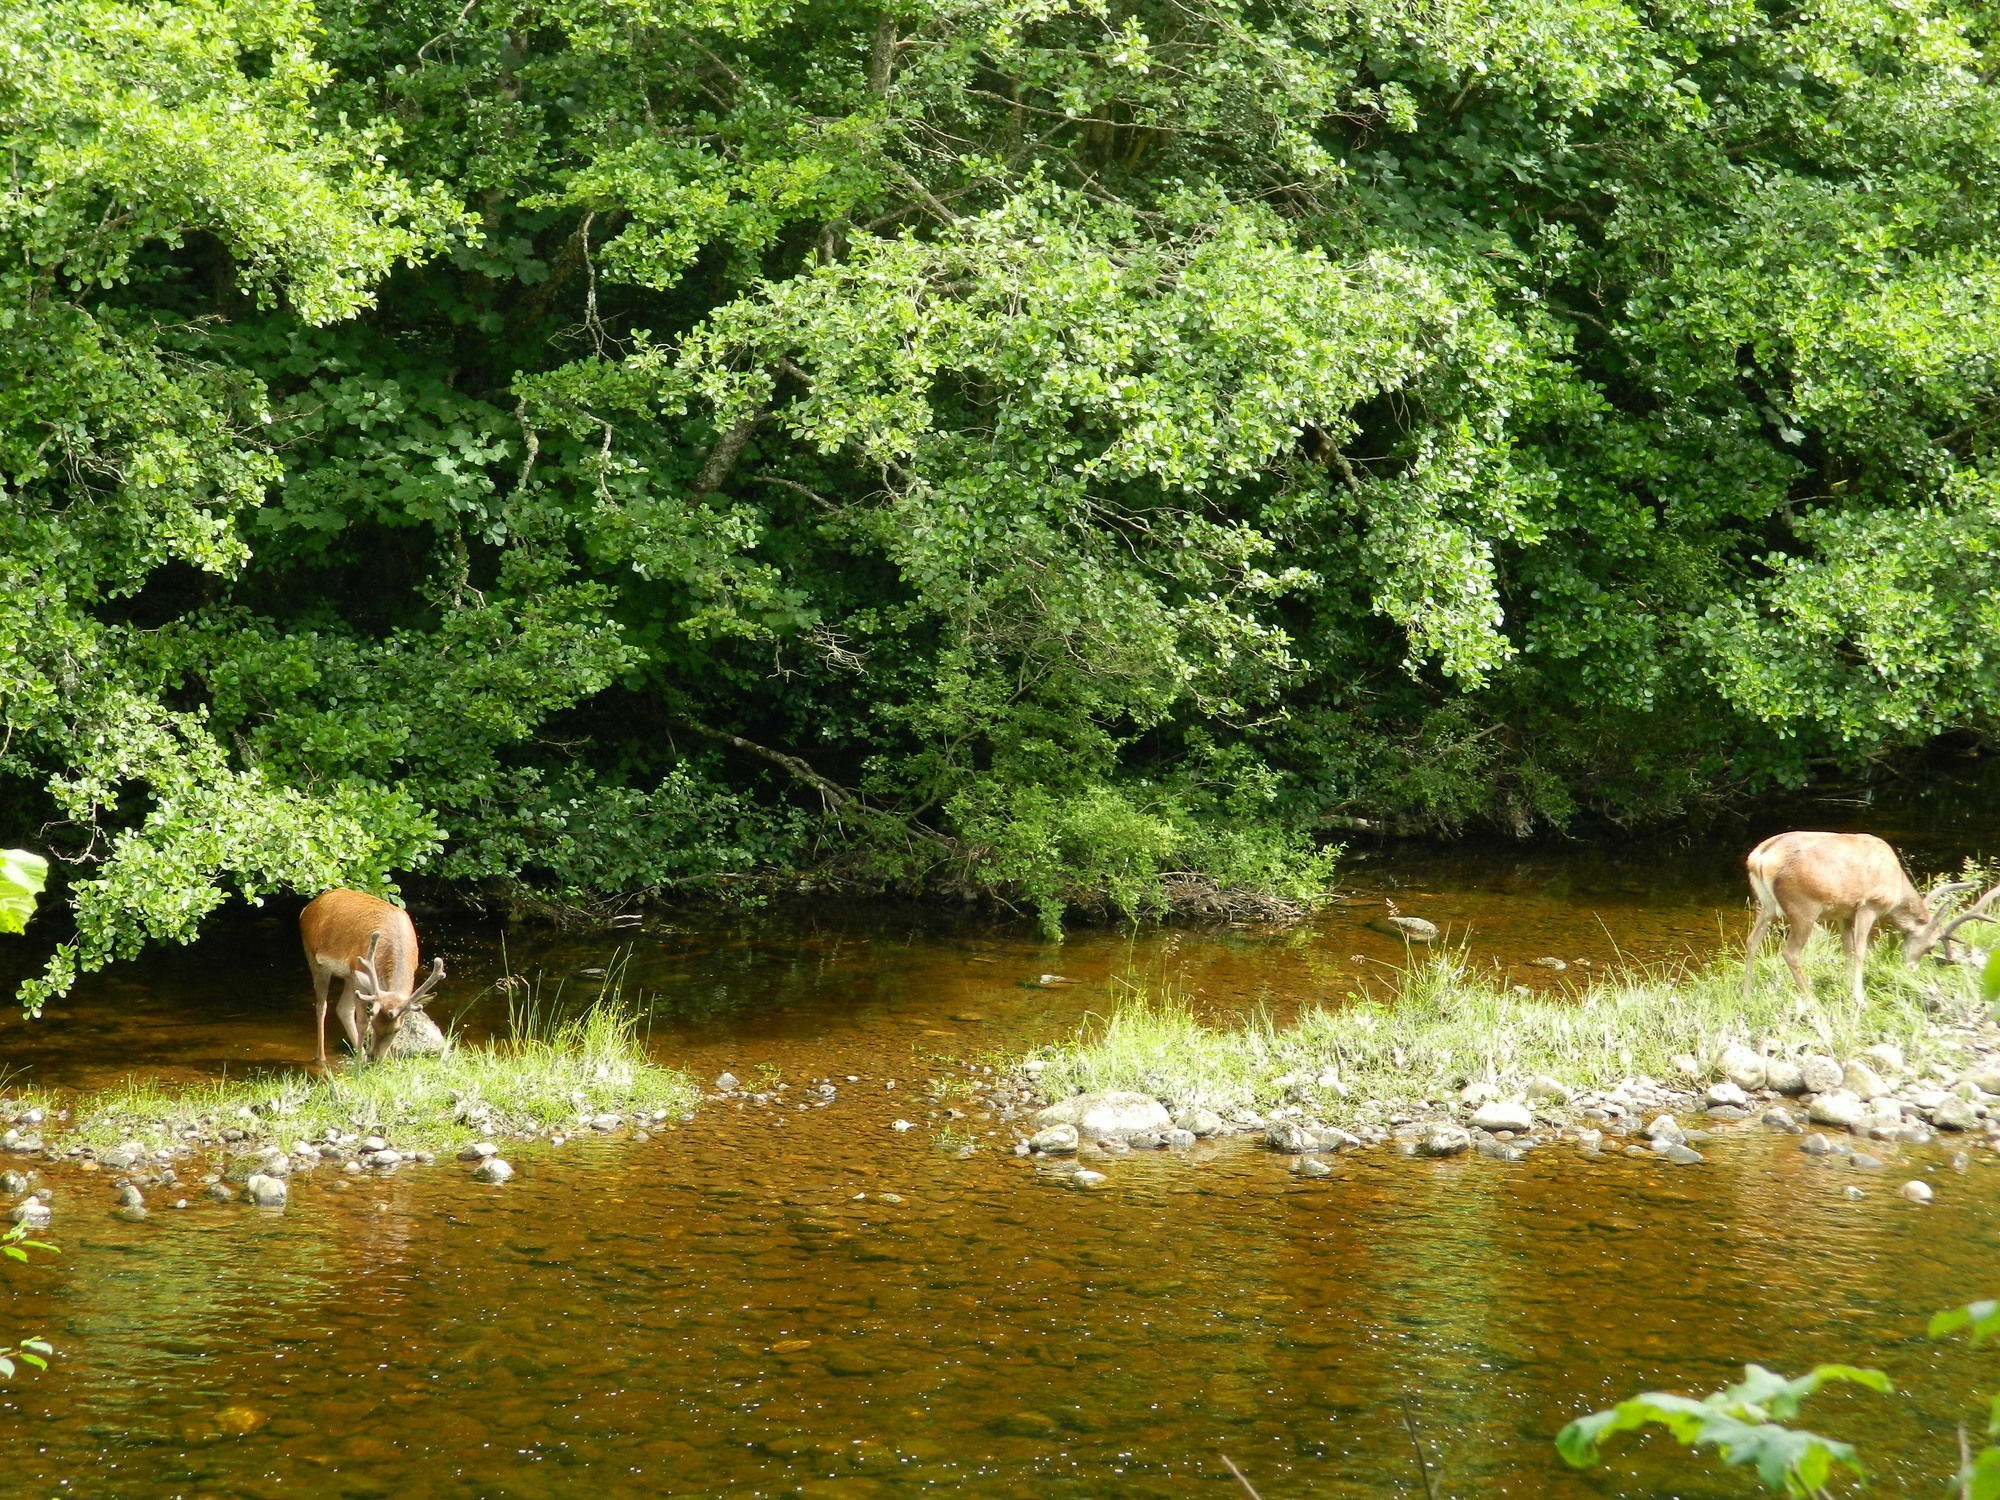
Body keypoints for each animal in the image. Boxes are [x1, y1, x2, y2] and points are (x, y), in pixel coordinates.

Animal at [298, 892, 444, 1072]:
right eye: (373, 1024)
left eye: (397, 1030)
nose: (374, 1057)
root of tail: (307, 908)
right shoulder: (359, 972)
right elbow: (361, 1022)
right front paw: (360, 1063)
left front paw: (387, 1061)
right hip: (316, 959)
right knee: (322, 1007)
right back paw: (322, 1058)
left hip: (348, 976)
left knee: (343, 1009)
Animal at [1736, 836, 2000, 1012]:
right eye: (1930, 945)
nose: (1910, 969)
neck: (1895, 887)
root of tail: (1760, 857)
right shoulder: (1868, 905)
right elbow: (1861, 950)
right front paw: (1859, 998)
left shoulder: (1844, 912)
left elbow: (1847, 949)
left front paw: (1844, 986)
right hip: (1803, 907)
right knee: (1790, 952)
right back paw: (1812, 999)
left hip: (1767, 905)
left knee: (1752, 940)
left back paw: (1747, 995)